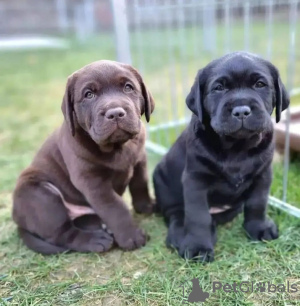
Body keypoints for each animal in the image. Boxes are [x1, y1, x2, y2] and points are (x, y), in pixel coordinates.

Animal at [12, 59, 155, 253]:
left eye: (128, 87)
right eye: (89, 95)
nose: (115, 113)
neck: (118, 147)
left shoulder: (140, 160)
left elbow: (140, 183)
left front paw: (146, 206)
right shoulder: (93, 182)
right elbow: (115, 207)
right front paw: (131, 237)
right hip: (40, 195)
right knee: (63, 233)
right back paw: (95, 241)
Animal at [154, 51, 290, 262]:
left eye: (260, 84)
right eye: (219, 88)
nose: (241, 111)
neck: (237, 148)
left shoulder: (263, 175)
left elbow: (257, 203)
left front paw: (259, 228)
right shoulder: (195, 180)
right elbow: (197, 215)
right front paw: (198, 247)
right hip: (162, 180)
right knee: (177, 214)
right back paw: (179, 235)